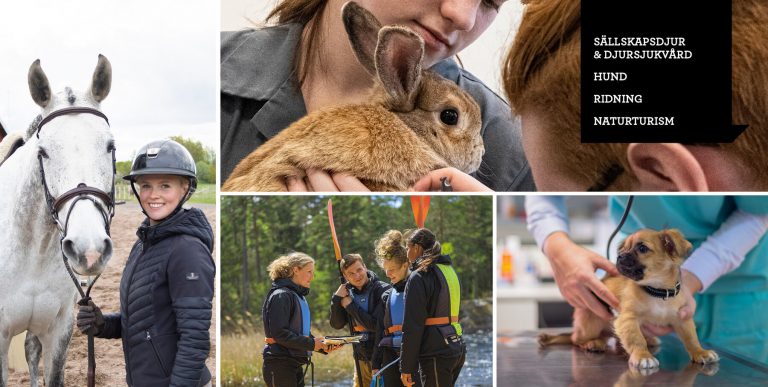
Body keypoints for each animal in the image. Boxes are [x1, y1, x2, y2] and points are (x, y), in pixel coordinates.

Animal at [540, 230, 720, 370]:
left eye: (642, 248)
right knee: (575, 339)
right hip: (592, 323)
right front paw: (642, 356)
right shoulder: (627, 319)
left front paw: (700, 352)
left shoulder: (683, 319)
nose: (619, 256)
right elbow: (636, 339)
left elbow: (691, 338)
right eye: (623, 249)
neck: (657, 291)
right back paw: (592, 343)